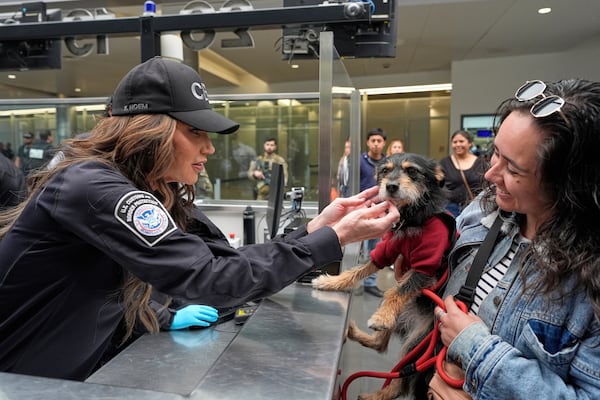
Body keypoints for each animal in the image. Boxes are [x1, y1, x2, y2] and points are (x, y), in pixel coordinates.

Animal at [314, 152, 454, 400]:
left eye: (412, 171)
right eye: (386, 171)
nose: (390, 186)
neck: (410, 217)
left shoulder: (425, 267)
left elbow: (398, 290)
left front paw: (381, 317)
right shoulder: (387, 250)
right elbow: (357, 271)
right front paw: (331, 282)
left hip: (419, 342)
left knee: (402, 379)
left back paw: (377, 395)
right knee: (380, 345)